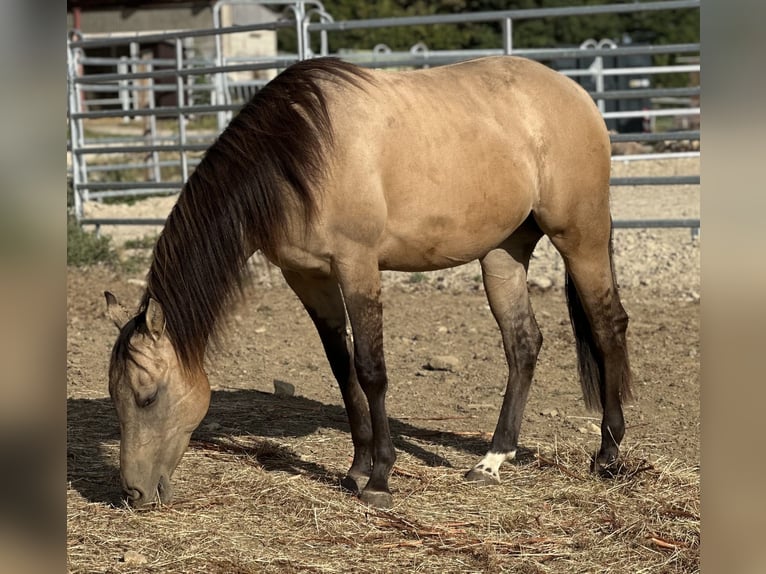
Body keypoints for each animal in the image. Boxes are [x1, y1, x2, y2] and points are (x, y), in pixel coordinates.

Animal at [105, 56, 632, 509]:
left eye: (148, 396)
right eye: (114, 397)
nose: (132, 493)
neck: (297, 153)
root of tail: (576, 94)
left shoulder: (356, 265)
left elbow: (371, 368)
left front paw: (379, 478)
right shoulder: (309, 277)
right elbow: (342, 369)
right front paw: (356, 469)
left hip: (580, 237)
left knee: (608, 327)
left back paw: (607, 455)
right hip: (503, 254)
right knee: (523, 344)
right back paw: (492, 460)